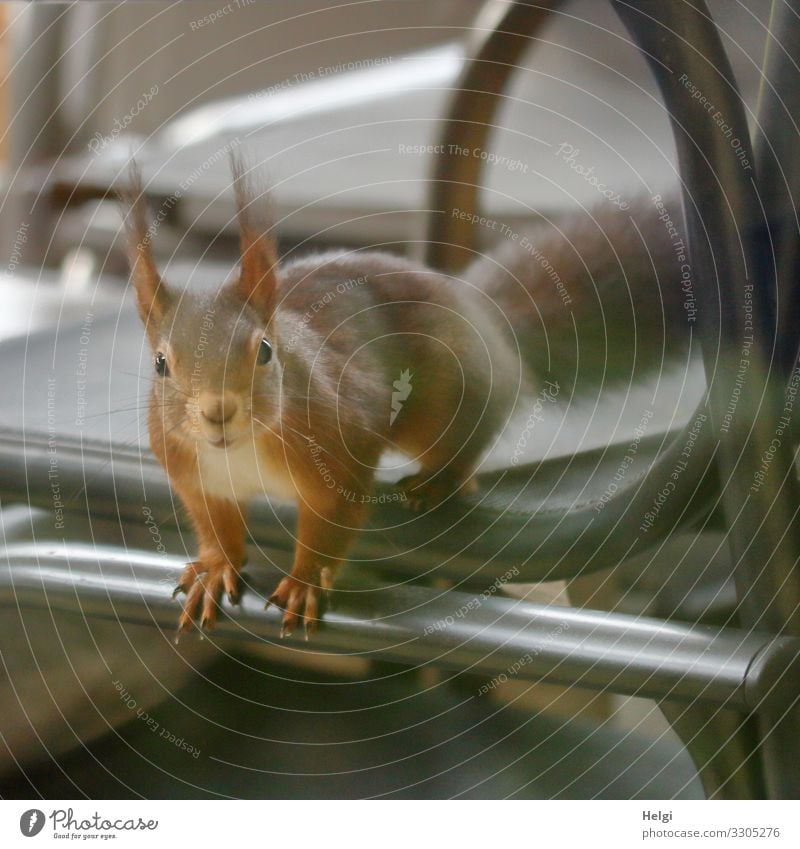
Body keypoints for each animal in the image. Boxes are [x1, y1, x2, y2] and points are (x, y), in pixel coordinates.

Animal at [120, 157, 688, 636]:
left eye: (264, 350)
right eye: (160, 364)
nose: (218, 411)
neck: (240, 452)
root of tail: (488, 320)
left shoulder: (339, 446)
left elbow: (329, 526)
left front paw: (303, 583)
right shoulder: (196, 478)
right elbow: (217, 528)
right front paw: (215, 570)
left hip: (441, 406)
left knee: (468, 442)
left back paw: (438, 481)